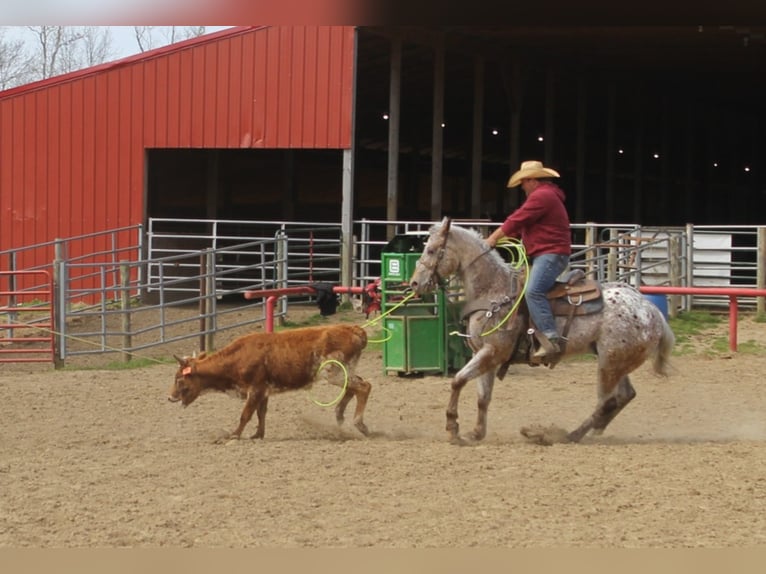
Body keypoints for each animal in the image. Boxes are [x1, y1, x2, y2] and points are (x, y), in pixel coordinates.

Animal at [170, 326, 374, 444]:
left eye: (179, 379)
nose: (170, 396)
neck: (238, 357)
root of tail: (354, 330)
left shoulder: (255, 389)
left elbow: (245, 415)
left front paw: (234, 435)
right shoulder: (264, 391)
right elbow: (261, 413)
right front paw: (258, 434)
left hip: (334, 372)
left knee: (364, 387)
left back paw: (359, 424)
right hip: (343, 372)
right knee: (354, 387)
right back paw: (340, 417)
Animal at [412, 216, 676, 446]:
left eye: (432, 250)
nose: (415, 283)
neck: (494, 290)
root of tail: (651, 310)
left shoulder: (491, 352)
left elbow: (457, 380)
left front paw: (453, 428)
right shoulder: (485, 355)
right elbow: (482, 398)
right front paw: (476, 433)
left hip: (609, 363)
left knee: (607, 400)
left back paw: (563, 435)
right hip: (616, 361)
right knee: (623, 396)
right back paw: (588, 431)